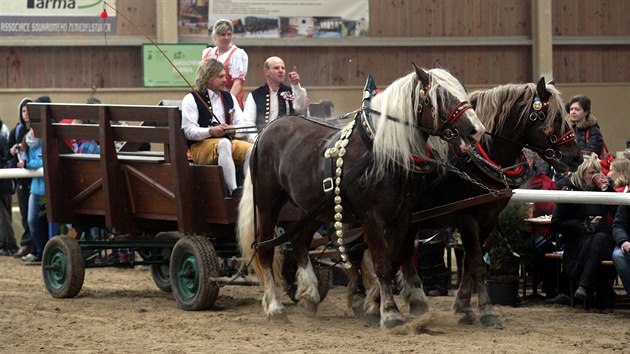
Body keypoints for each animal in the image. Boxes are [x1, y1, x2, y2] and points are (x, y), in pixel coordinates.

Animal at [239, 64, 486, 330]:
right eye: (440, 97)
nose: (477, 130)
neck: (383, 151)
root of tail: (265, 131)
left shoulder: (403, 216)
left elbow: (394, 260)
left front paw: (373, 306)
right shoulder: (371, 217)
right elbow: (382, 264)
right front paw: (389, 313)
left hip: (312, 209)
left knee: (298, 242)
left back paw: (309, 296)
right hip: (268, 203)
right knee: (264, 248)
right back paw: (275, 308)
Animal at [358, 77, 584, 330]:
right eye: (554, 117)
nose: (577, 157)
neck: (479, 155)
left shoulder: (488, 218)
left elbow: (469, 263)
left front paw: (464, 307)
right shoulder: (466, 217)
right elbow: (476, 263)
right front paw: (487, 310)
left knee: (403, 253)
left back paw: (413, 300)